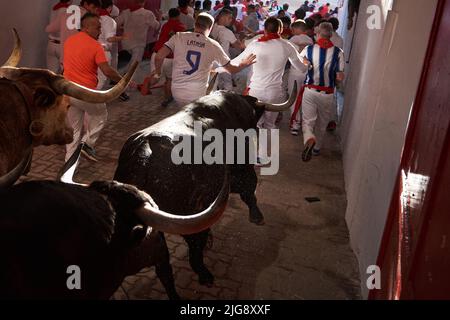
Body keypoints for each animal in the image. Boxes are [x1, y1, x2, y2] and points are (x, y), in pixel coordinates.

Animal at [113, 82, 296, 284]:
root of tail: (145, 150)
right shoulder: (244, 166)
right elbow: (249, 191)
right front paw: (257, 216)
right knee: (194, 246)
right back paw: (205, 274)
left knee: (164, 265)